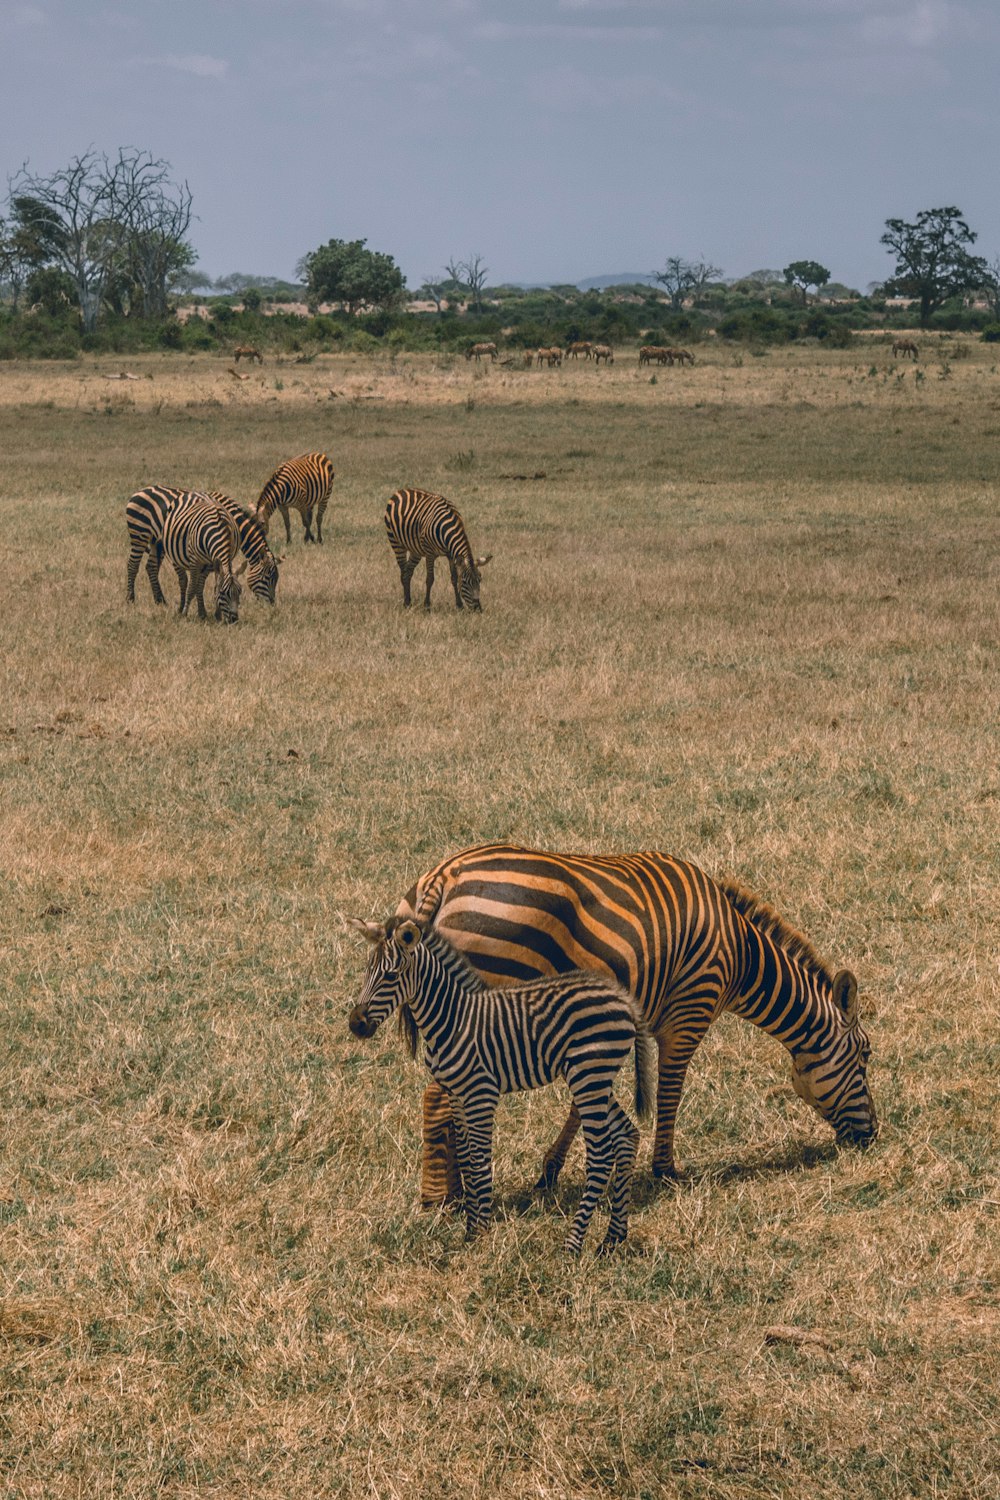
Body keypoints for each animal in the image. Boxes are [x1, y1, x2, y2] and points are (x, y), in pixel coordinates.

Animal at [347, 876, 659, 1254]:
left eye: (391, 976)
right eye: (366, 971)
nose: (356, 1024)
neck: (452, 1017)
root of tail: (624, 999)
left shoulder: (482, 1093)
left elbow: (481, 1157)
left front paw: (480, 1229)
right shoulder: (456, 1094)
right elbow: (467, 1155)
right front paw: (471, 1226)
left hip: (588, 1076)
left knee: (600, 1153)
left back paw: (573, 1244)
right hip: (595, 1078)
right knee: (627, 1135)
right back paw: (612, 1238)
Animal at [395, 846, 881, 1206]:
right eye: (864, 1055)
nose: (873, 1135)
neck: (743, 955)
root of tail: (445, 878)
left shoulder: (610, 1022)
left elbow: (583, 1104)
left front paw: (550, 1171)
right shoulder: (688, 1014)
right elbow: (670, 1093)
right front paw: (665, 1169)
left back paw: (460, 1189)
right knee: (439, 1099)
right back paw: (442, 1198)